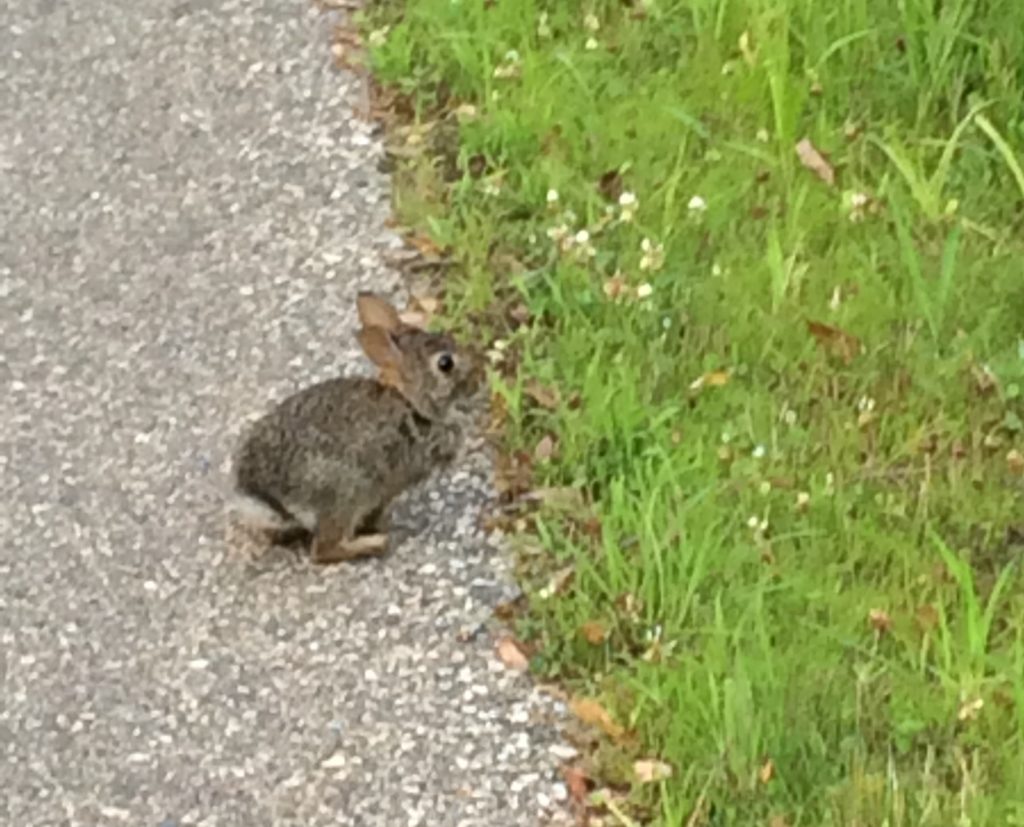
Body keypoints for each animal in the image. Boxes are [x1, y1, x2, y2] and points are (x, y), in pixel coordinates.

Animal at [230, 290, 485, 560]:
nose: (479, 376)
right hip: (345, 492)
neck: (411, 403)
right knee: (323, 550)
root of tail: (263, 496)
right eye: (445, 364)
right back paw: (376, 543)